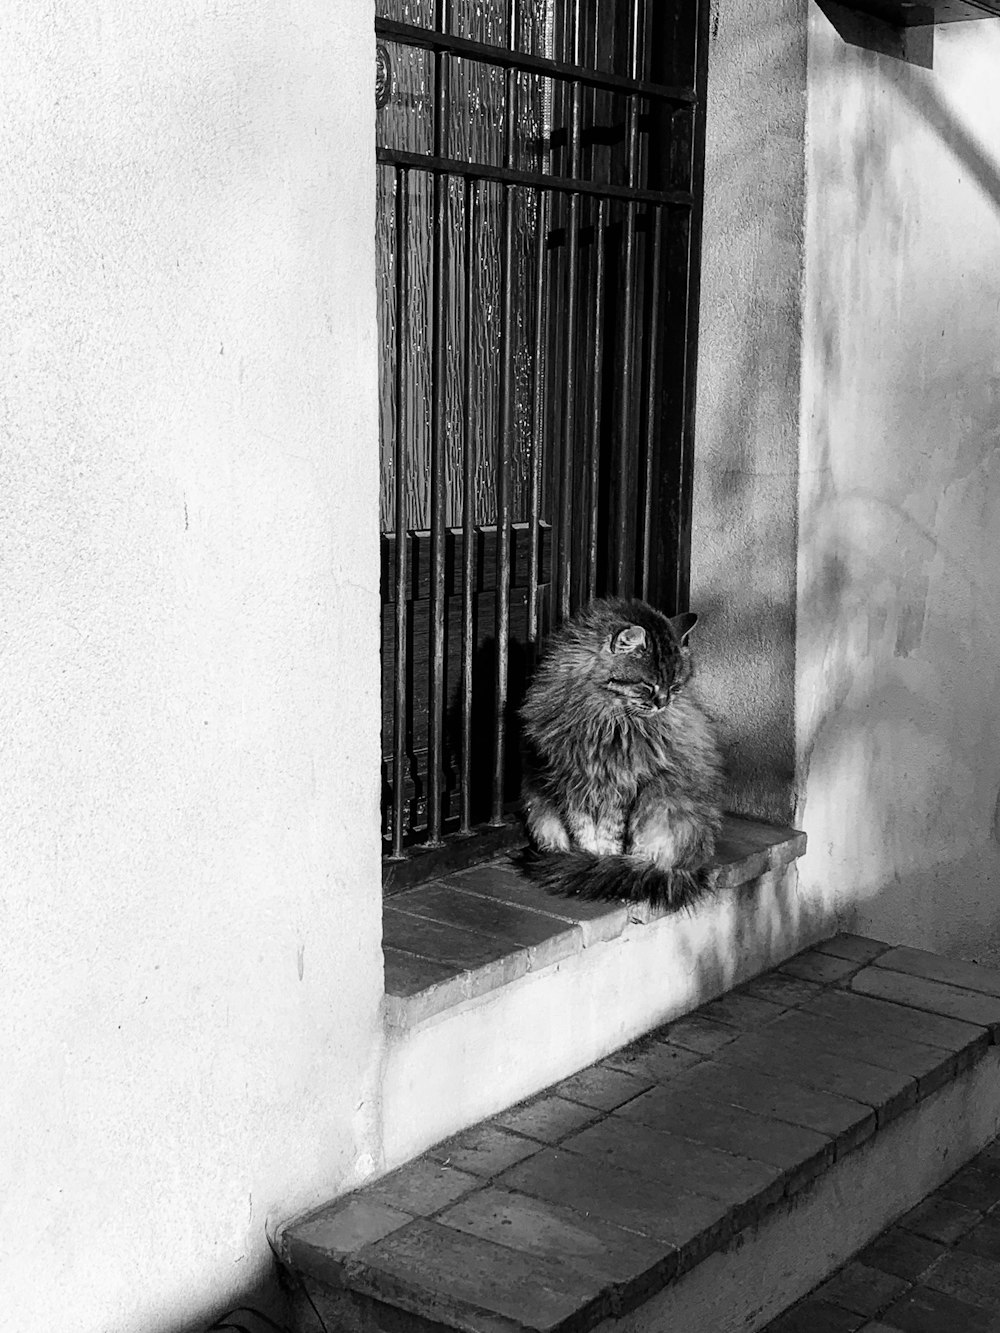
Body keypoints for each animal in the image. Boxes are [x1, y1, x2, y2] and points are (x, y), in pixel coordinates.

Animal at [520, 599, 725, 911]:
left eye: (675, 687)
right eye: (647, 686)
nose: (664, 704)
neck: (602, 719)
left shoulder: (624, 788)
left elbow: (612, 838)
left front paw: (599, 865)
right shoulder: (572, 782)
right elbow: (583, 833)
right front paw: (587, 860)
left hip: (662, 803)